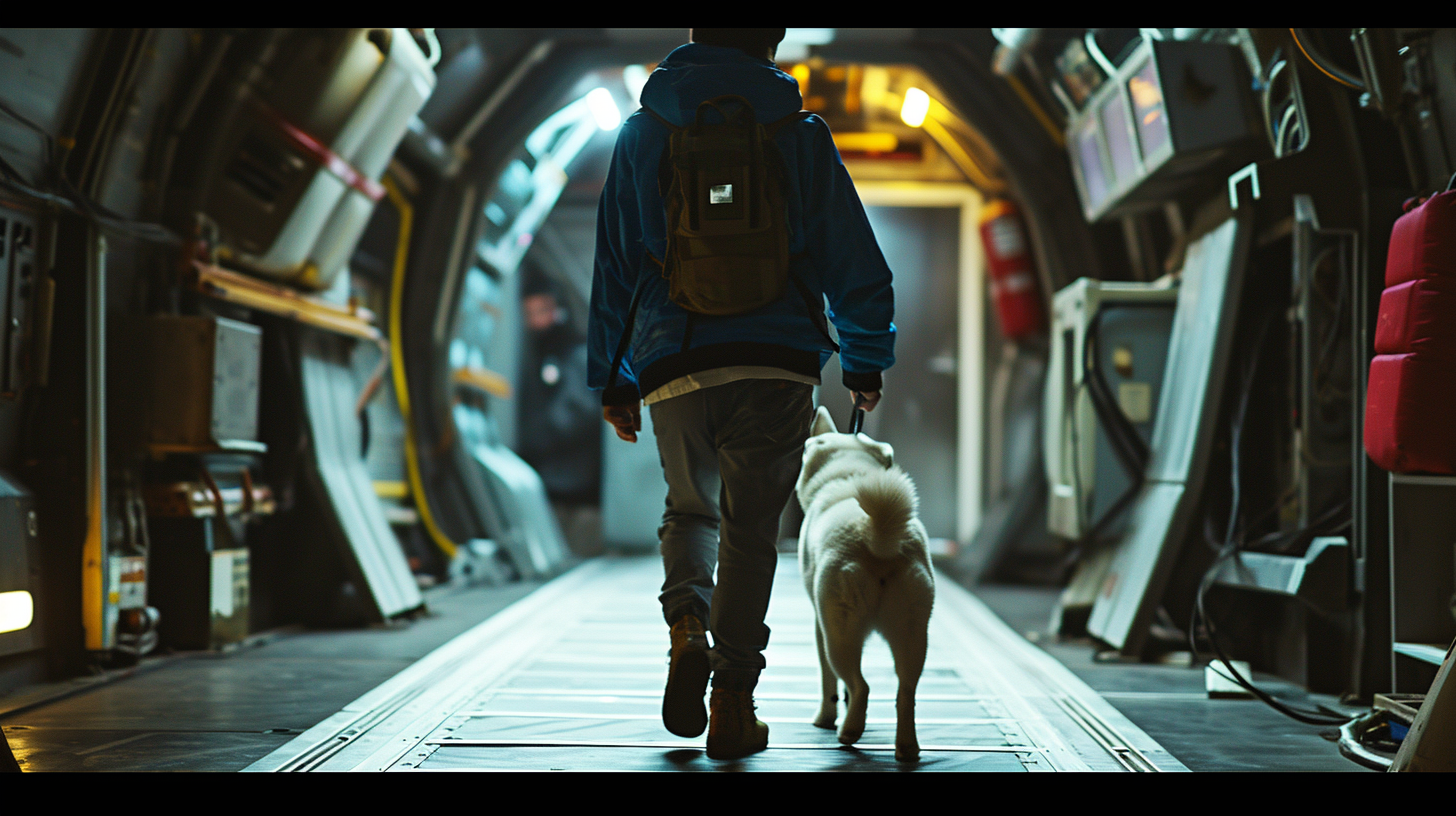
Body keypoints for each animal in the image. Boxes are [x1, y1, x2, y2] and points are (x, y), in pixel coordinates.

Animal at [797, 405, 931, 763]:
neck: (848, 477)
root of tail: (877, 539)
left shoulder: (819, 624)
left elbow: (828, 682)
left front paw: (825, 718)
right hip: (913, 631)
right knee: (906, 693)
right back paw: (907, 749)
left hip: (840, 632)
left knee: (861, 685)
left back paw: (849, 731)